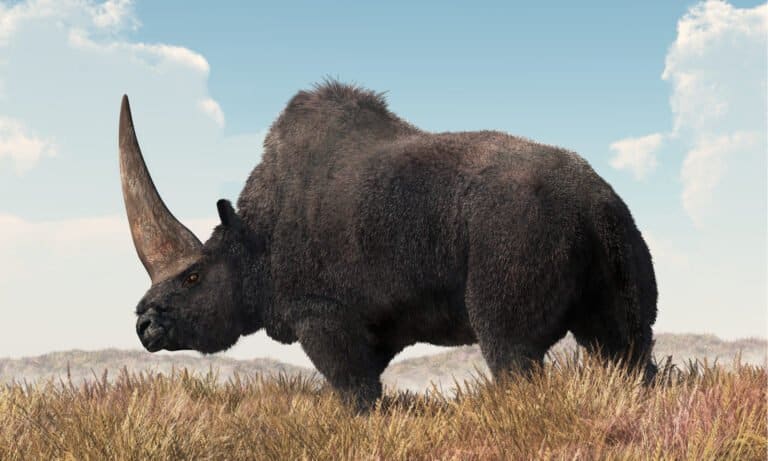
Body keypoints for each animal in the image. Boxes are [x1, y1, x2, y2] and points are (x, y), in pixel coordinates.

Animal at [120, 81, 657, 409]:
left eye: (194, 277)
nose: (144, 327)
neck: (251, 243)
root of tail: (595, 201)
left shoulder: (322, 312)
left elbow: (356, 395)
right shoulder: (376, 324)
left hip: (518, 229)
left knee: (512, 352)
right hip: (620, 233)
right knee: (625, 345)